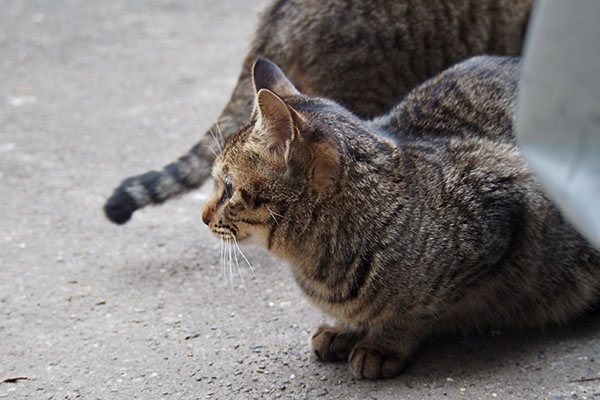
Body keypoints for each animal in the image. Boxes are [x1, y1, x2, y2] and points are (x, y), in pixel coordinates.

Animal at [200, 56, 600, 378]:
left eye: (228, 188)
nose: (203, 216)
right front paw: (346, 328)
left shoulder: (508, 205)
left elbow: (418, 311)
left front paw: (383, 343)